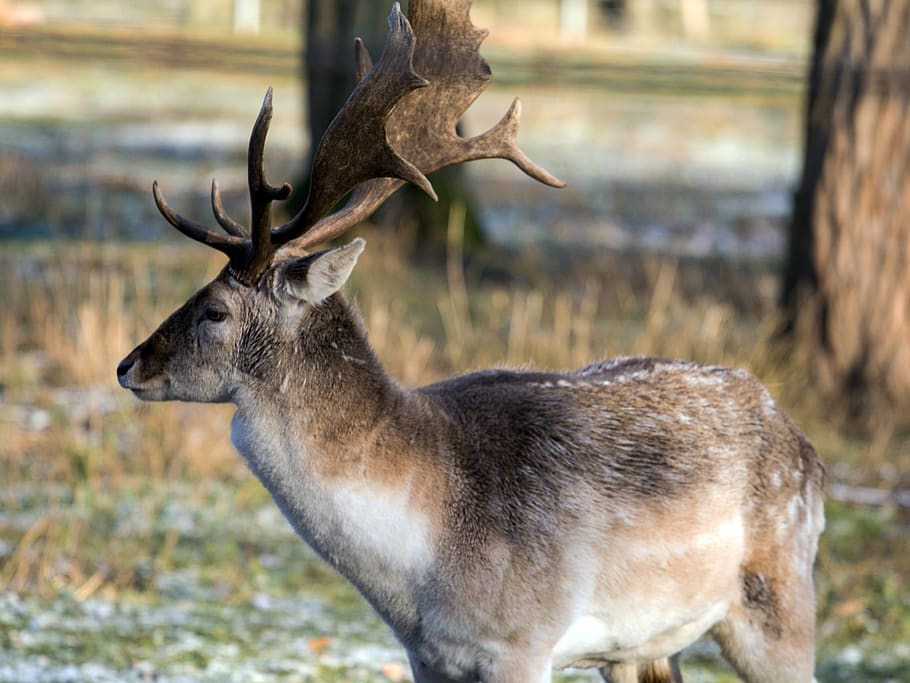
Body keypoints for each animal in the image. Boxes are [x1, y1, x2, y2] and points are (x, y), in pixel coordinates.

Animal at [116, 2, 825, 682]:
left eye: (214, 310)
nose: (128, 365)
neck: (420, 581)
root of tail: (804, 444)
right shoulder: (428, 658)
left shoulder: (524, 640)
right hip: (641, 649)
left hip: (782, 598)